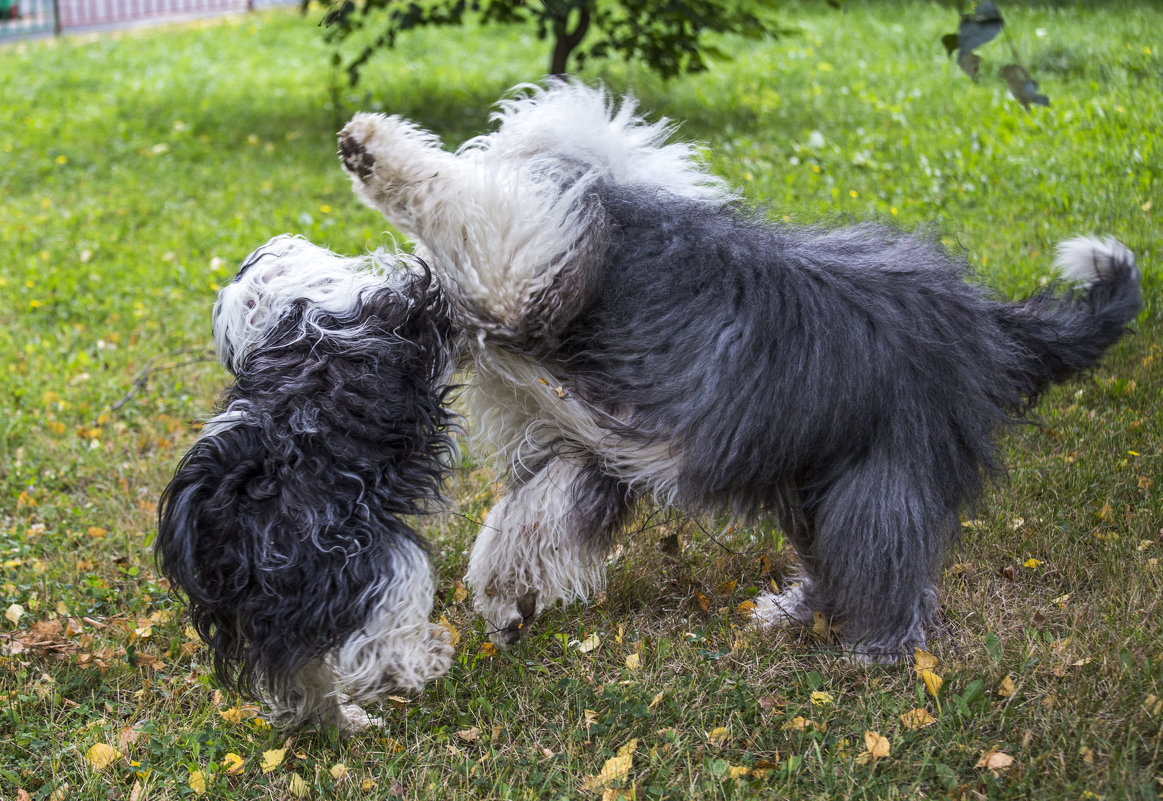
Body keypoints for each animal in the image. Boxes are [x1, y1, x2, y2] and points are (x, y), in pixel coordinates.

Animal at [157, 234, 455, 730]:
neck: (283, 308)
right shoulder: (412, 313)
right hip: (365, 560)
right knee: (379, 636)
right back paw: (415, 664)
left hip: (286, 604)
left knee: (304, 674)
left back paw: (343, 722)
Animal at [337, 81, 1144, 660]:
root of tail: (988, 323)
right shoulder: (584, 442)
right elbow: (523, 521)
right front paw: (506, 600)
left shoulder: (528, 267)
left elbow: (456, 200)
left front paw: (375, 148)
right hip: (814, 477)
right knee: (837, 562)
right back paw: (792, 614)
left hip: (881, 474)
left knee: (887, 567)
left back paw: (878, 656)